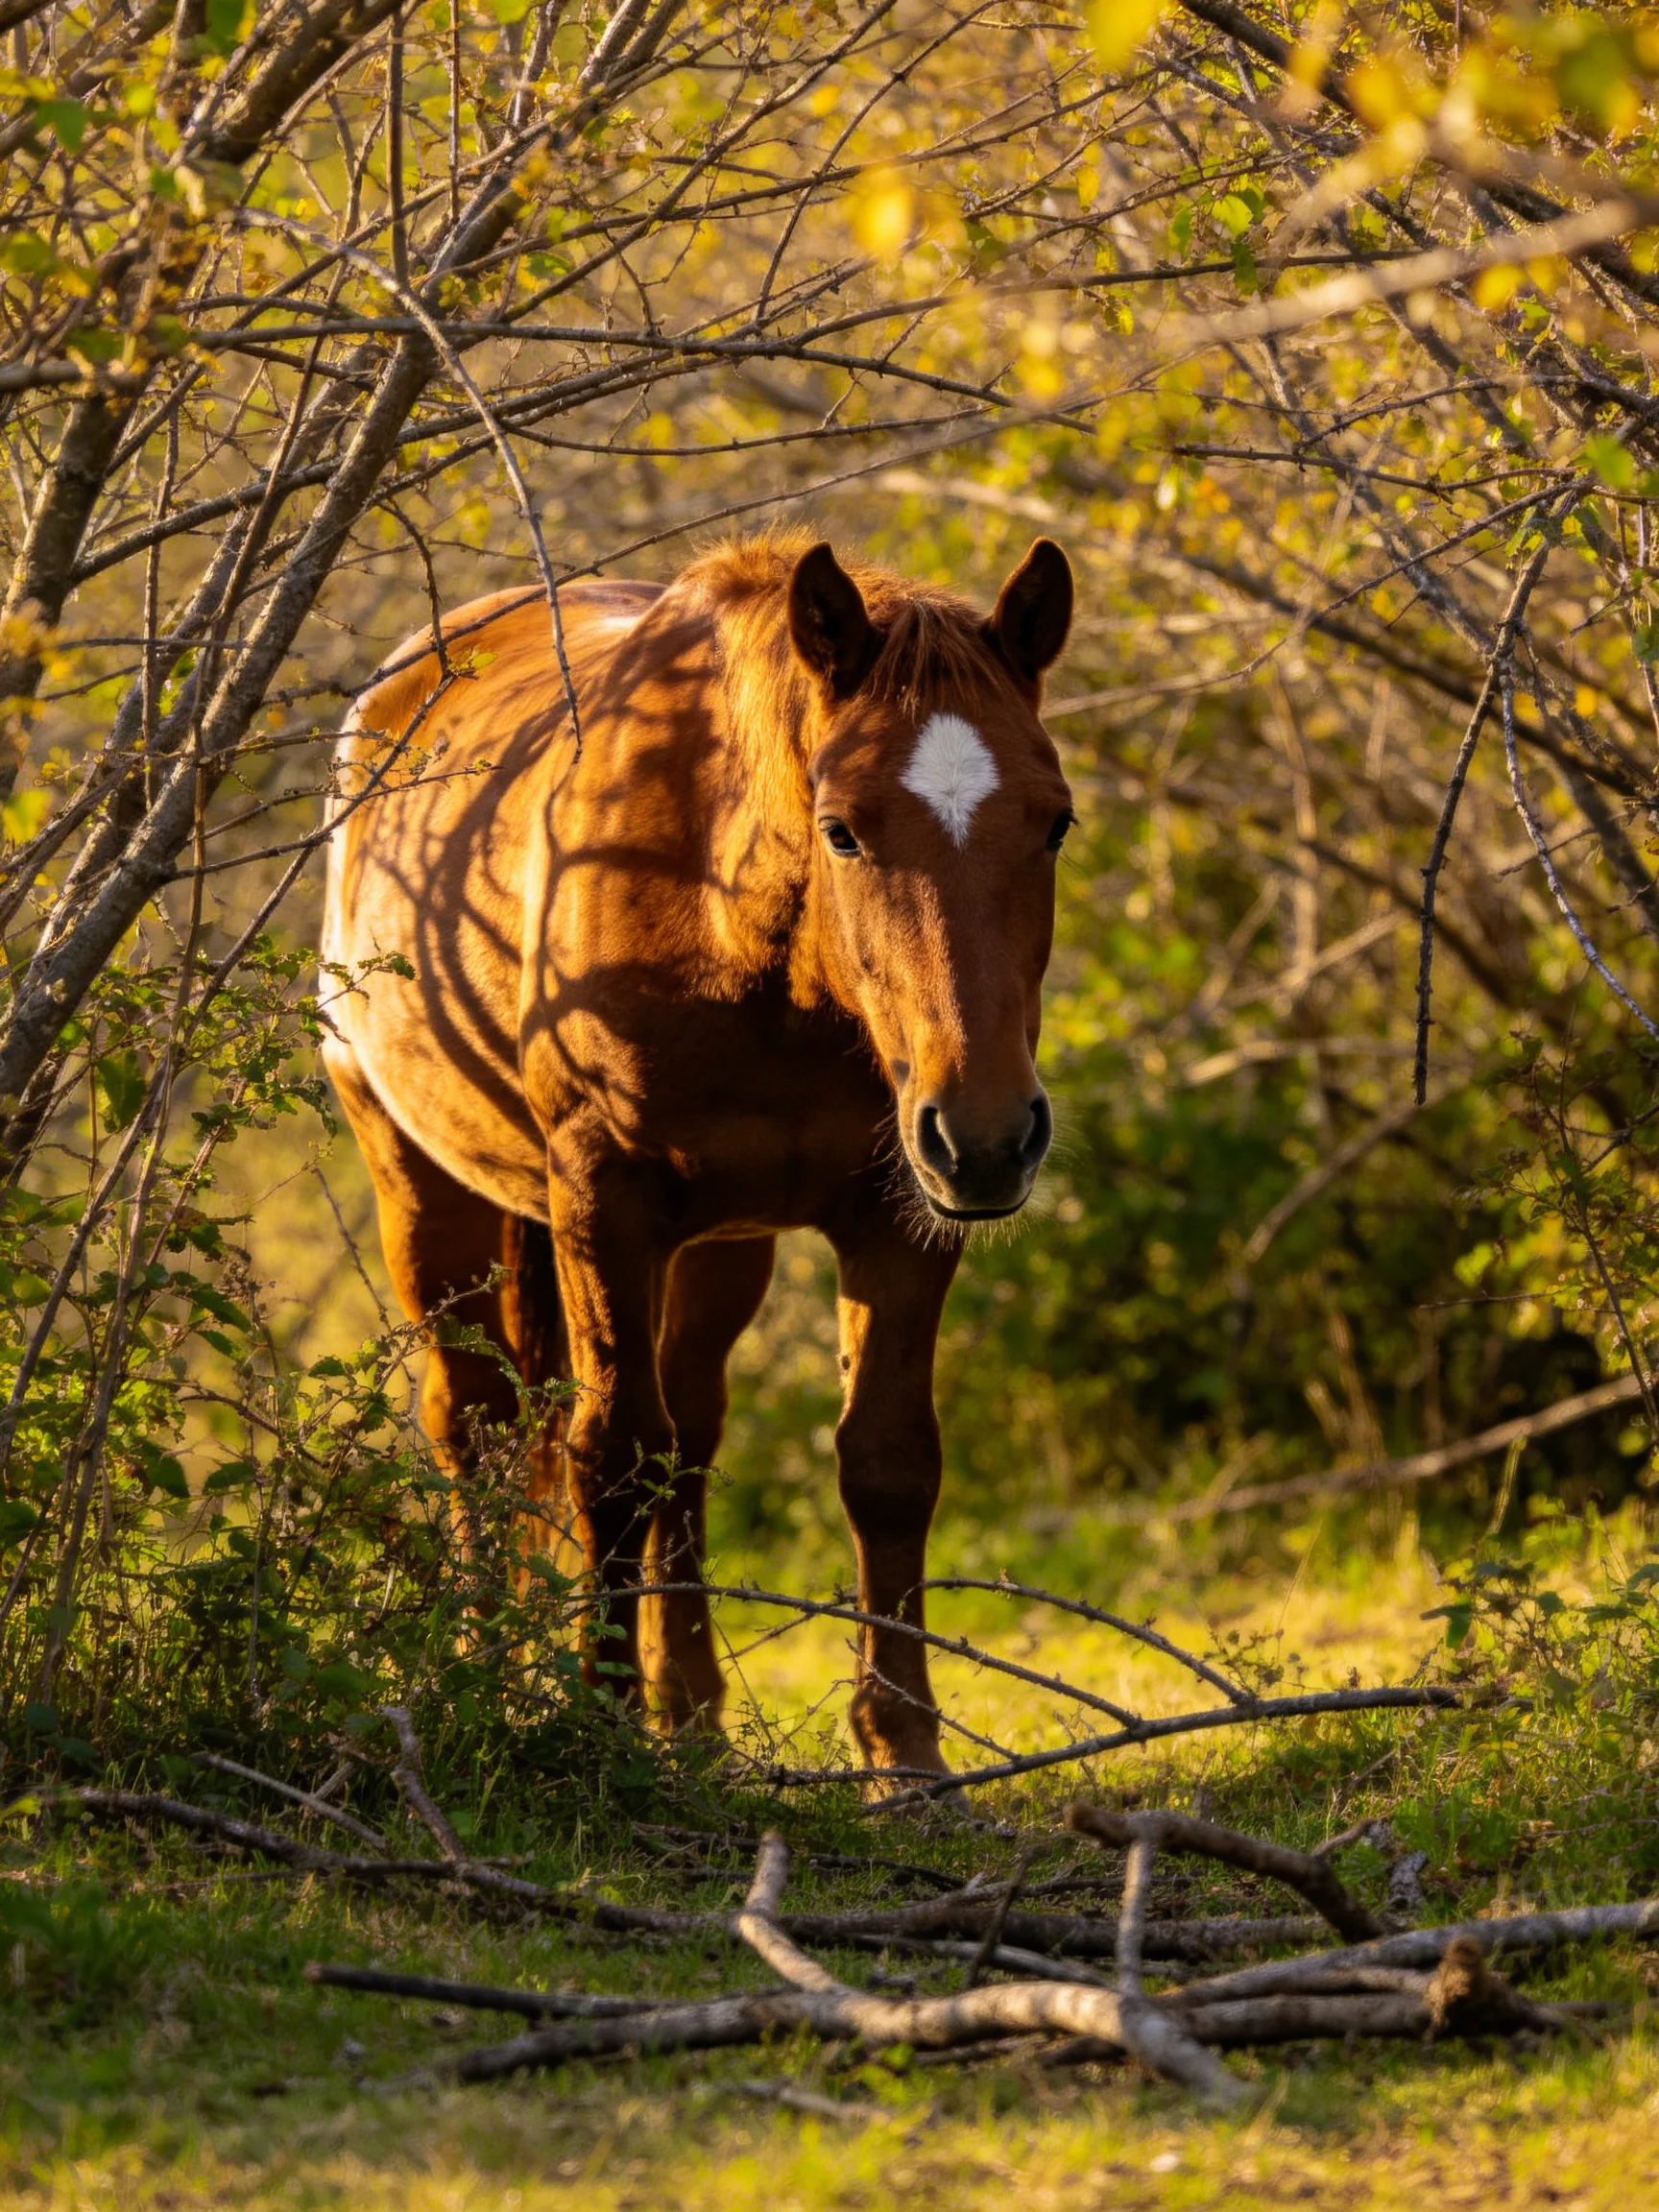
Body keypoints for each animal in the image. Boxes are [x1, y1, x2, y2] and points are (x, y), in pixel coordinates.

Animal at [320, 530, 1074, 1779]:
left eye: (1053, 822)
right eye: (844, 827)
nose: (989, 1134)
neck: (739, 925)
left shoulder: (897, 1219)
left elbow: (886, 1464)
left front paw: (906, 1758)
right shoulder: (604, 1207)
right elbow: (613, 1455)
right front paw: (597, 1720)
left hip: (726, 1246)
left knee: (691, 1434)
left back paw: (691, 1709)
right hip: (420, 1190)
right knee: (478, 1420)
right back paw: (489, 1670)